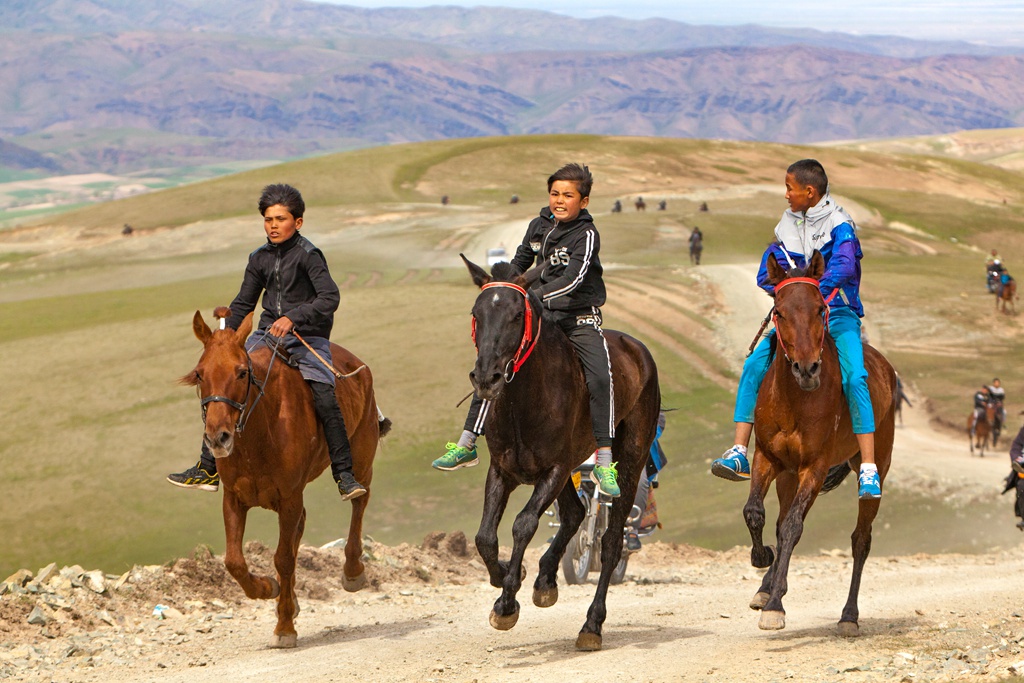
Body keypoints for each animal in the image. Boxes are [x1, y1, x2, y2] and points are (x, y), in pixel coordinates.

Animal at [180, 309, 387, 647]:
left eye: (241, 372)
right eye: (199, 374)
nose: (217, 438)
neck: (261, 430)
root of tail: (358, 367)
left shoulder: (289, 497)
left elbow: (284, 559)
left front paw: (285, 628)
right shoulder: (235, 498)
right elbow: (234, 561)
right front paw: (268, 589)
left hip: (361, 459)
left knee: (360, 501)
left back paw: (353, 571)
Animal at [462, 255, 659, 651]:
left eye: (516, 315)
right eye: (477, 313)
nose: (486, 378)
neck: (524, 398)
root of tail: (639, 351)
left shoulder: (552, 470)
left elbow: (523, 524)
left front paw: (507, 602)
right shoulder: (504, 470)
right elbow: (485, 537)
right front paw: (508, 575)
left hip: (629, 460)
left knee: (610, 541)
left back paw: (591, 626)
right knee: (574, 513)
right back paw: (545, 581)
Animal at [745, 253, 897, 638]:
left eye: (819, 308)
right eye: (780, 311)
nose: (807, 369)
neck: (794, 399)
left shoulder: (814, 467)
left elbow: (794, 527)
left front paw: (775, 606)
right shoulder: (768, 459)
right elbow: (757, 513)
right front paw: (762, 561)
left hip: (874, 467)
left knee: (860, 540)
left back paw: (848, 616)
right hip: (788, 475)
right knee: (781, 520)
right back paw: (767, 584)